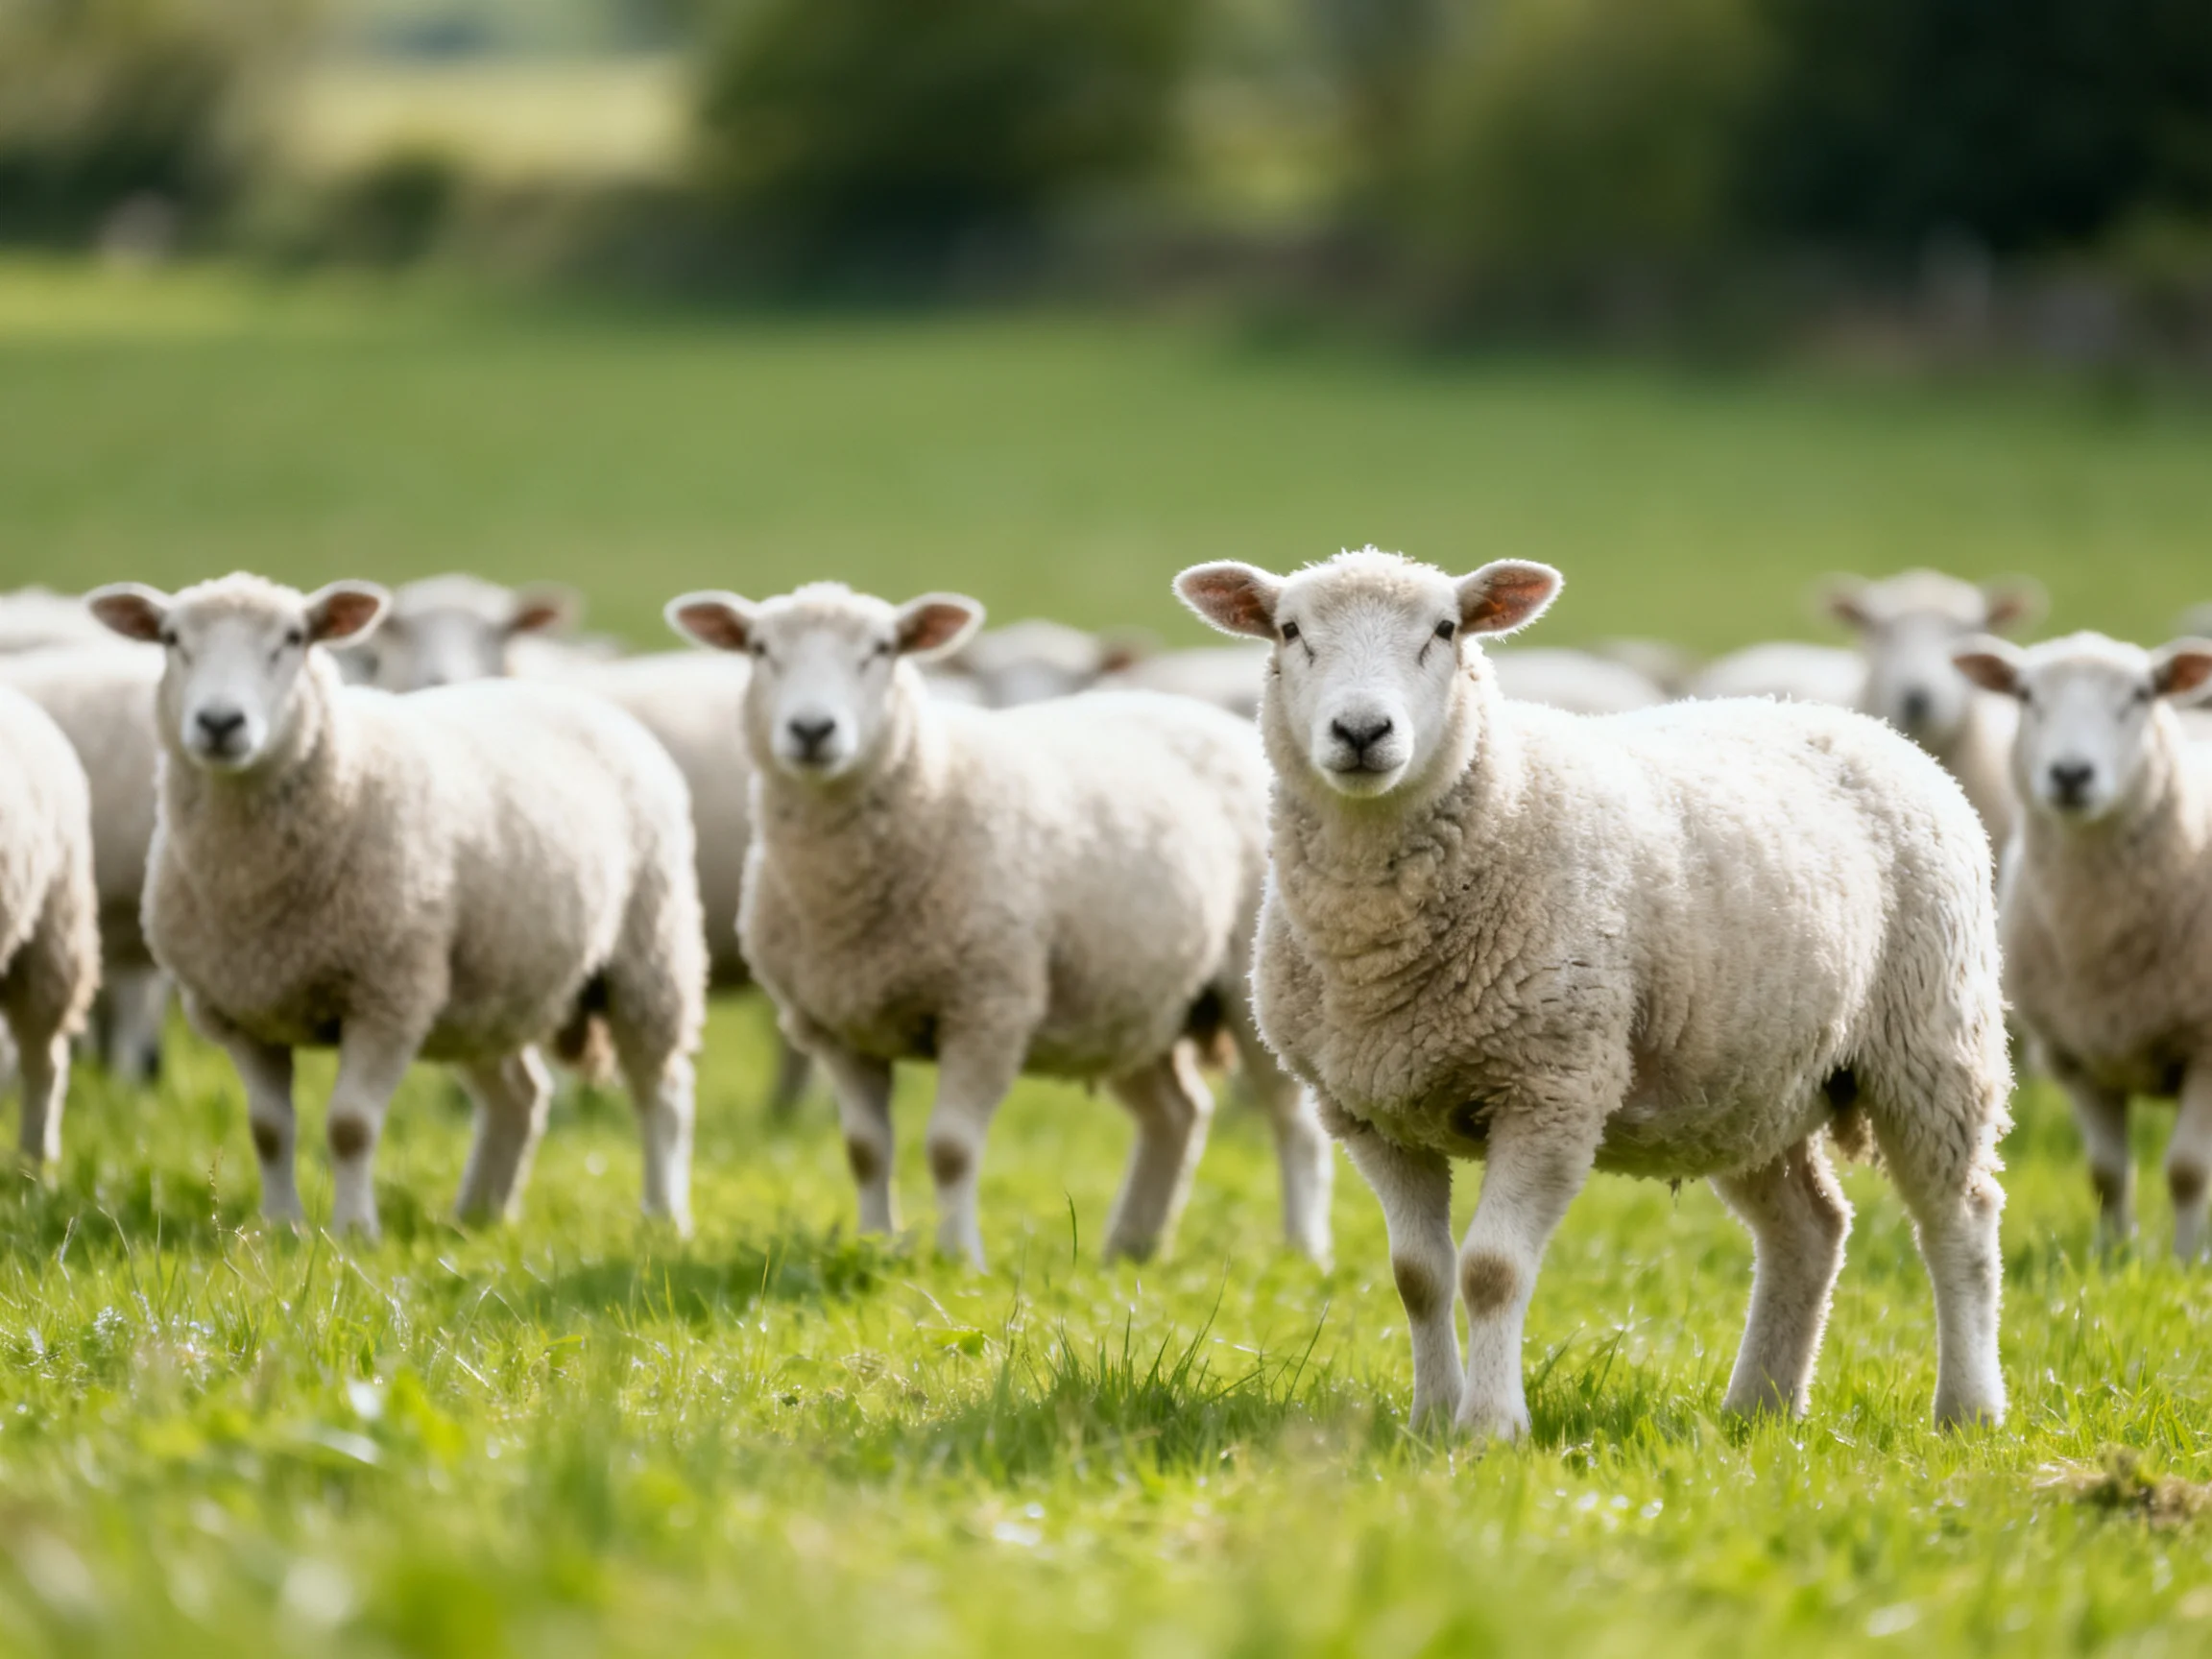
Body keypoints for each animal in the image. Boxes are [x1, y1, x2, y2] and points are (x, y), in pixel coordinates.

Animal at [87, 573, 706, 1239]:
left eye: (294, 639)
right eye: (171, 639)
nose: (221, 721)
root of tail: (577, 697)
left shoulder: (388, 996)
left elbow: (350, 1126)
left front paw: (354, 1234)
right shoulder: (241, 1008)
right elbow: (270, 1131)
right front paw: (280, 1229)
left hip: (649, 955)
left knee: (662, 1091)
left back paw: (663, 1216)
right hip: (485, 994)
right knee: (518, 1095)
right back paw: (480, 1215)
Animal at [665, 581, 1335, 1270]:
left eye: (882, 650)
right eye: (759, 649)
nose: (812, 729)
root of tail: (1200, 714)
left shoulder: (988, 1006)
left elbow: (950, 1148)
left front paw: (960, 1260)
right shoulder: (836, 1026)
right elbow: (865, 1151)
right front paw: (878, 1245)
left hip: (1247, 986)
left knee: (1293, 1123)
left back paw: (1302, 1249)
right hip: (1131, 999)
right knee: (1176, 1114)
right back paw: (1131, 1247)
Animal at [1175, 547, 2011, 1439]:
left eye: (1446, 630)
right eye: (1290, 631)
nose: (1363, 732)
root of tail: (1863, 725)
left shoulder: (1553, 1089)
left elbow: (1492, 1271)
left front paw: (1490, 1429)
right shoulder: (1371, 1111)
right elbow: (1418, 1274)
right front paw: (1430, 1421)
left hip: (1931, 1039)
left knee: (1959, 1220)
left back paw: (1968, 1409)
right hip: (1749, 1084)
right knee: (1809, 1229)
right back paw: (1760, 1408)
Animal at [1953, 630, 2212, 1260]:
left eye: (2142, 695)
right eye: (2026, 695)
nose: (2071, 774)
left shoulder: (2207, 1046)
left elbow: (2188, 1170)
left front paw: (2187, 1260)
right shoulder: (2074, 1056)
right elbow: (2106, 1173)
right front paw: (2111, 1255)